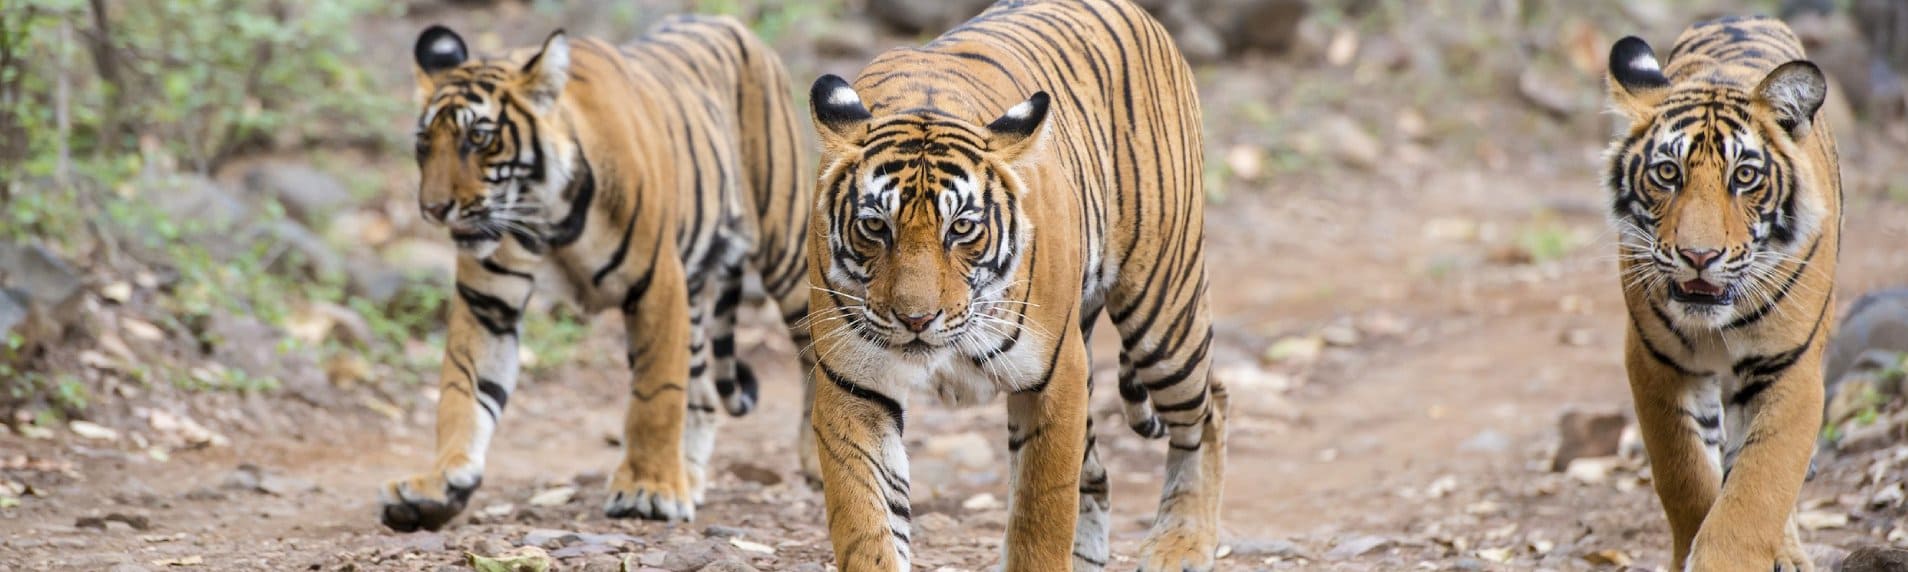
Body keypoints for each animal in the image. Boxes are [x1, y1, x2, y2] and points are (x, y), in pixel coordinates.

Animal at [377, 16, 817, 531]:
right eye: (424, 144)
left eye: (479, 139)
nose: (433, 209)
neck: (545, 217)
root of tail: (731, 23)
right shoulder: (488, 303)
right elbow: (462, 390)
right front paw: (438, 485)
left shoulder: (657, 283)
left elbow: (655, 395)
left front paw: (648, 489)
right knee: (704, 391)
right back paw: (688, 477)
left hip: (787, 249)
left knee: (814, 352)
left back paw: (811, 463)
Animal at [803, 0, 1227, 570]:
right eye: (875, 226)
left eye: (961, 228)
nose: (915, 320)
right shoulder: (854, 388)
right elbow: (868, 525)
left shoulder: (1055, 377)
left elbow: (1041, 515)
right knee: (1099, 473)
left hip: (1162, 314)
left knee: (1209, 407)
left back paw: (1182, 542)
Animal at [1604, 15, 1840, 571]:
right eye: (1667, 173)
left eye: (1745, 176)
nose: (1699, 256)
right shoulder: (1655, 363)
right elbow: (1685, 476)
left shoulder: (1790, 370)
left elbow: (1759, 488)